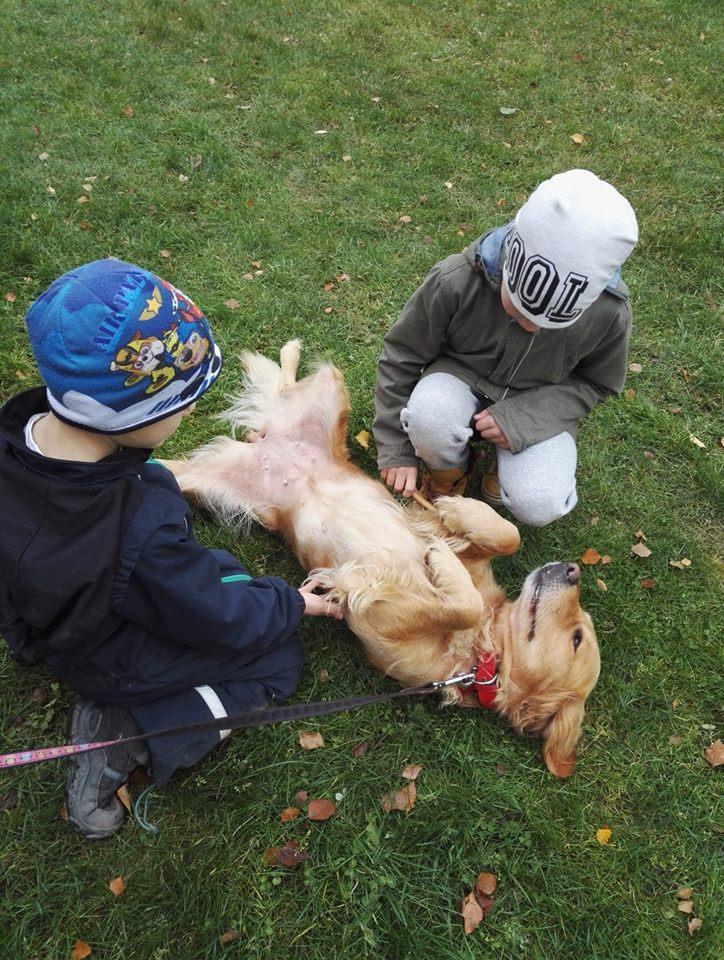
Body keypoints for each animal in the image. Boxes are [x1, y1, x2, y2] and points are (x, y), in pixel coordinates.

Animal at [164, 342, 600, 776]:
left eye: (577, 637)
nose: (572, 570)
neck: (481, 655)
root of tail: (268, 443)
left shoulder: (377, 625)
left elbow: (460, 605)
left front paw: (437, 563)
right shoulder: (452, 545)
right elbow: (505, 537)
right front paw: (454, 515)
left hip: (205, 483)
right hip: (330, 387)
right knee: (284, 386)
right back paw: (287, 352)